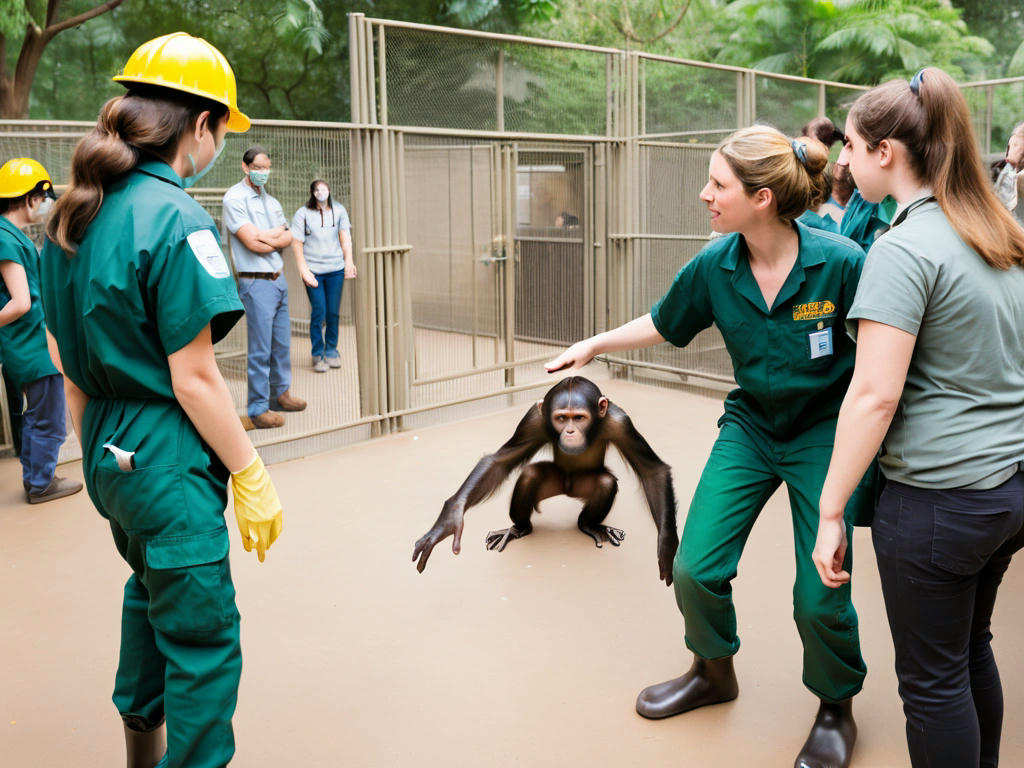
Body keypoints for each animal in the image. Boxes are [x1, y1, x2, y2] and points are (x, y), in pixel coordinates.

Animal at [407, 376, 679, 585]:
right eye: (561, 418)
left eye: (579, 417)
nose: (570, 431)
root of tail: (568, 490)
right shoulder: (533, 420)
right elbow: (499, 461)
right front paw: (449, 518)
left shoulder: (620, 423)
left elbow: (652, 471)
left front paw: (668, 548)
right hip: (554, 482)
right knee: (531, 474)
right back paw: (518, 528)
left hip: (582, 486)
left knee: (605, 482)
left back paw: (590, 525)